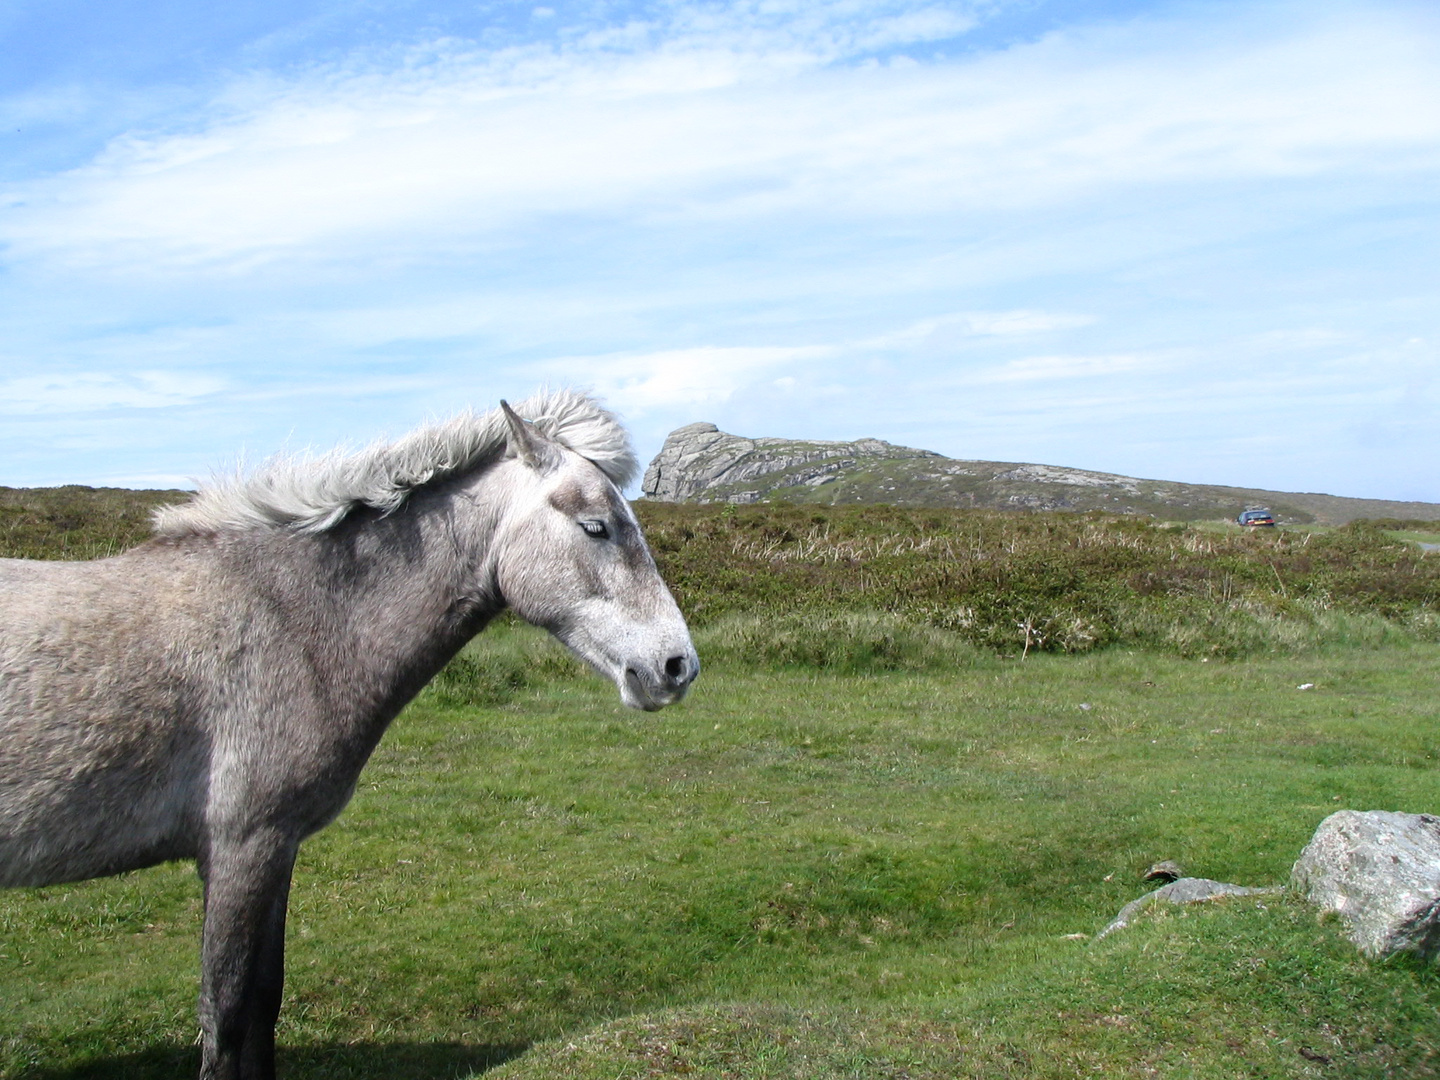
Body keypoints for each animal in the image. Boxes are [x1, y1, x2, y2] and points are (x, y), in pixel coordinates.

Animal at [0, 394, 696, 1080]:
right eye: (596, 527)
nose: (677, 667)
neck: (288, 617)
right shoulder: (240, 849)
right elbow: (225, 1017)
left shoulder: (276, 850)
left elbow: (264, 1003)